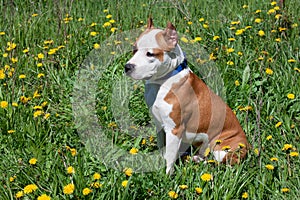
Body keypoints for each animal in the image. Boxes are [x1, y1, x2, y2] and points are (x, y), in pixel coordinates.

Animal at [124, 18, 248, 173]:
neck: (162, 82)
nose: (127, 67)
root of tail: (248, 146)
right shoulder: (159, 124)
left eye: (150, 54)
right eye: (134, 49)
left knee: (222, 164)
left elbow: (170, 157)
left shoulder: (174, 129)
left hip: (222, 147)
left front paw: (167, 175)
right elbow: (163, 148)